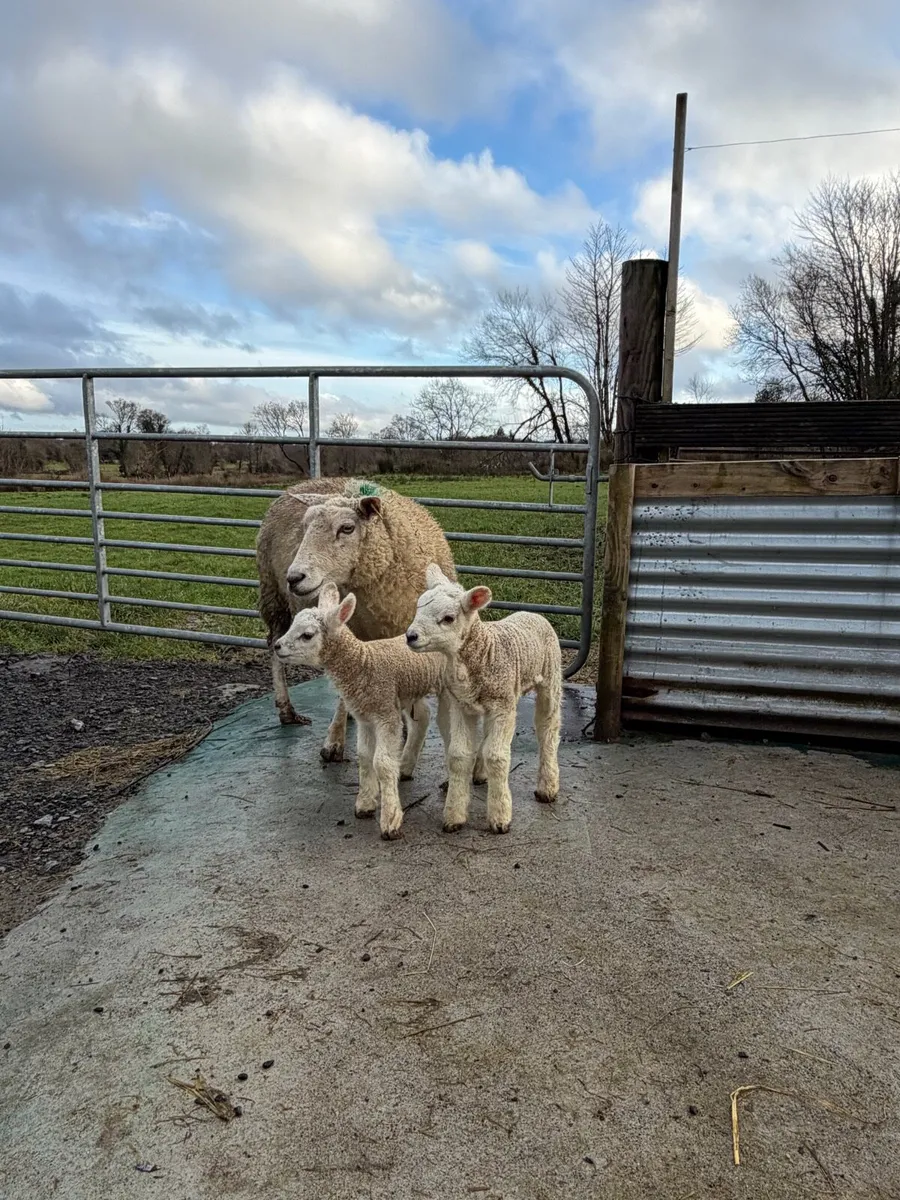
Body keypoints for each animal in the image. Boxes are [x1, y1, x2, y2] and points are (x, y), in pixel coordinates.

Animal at [255, 477, 457, 762]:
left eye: (347, 528)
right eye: (305, 528)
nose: (294, 578)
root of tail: (300, 483)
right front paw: (334, 742)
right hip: (274, 596)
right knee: (274, 646)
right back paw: (287, 711)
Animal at [274, 583, 448, 840]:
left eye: (307, 635)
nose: (277, 646)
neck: (364, 663)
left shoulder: (385, 713)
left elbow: (382, 763)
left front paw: (390, 820)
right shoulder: (365, 716)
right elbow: (365, 758)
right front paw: (365, 804)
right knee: (422, 717)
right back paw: (406, 767)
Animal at [405, 563, 562, 835]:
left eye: (448, 618)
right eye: (418, 608)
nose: (410, 636)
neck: (483, 651)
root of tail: (532, 613)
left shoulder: (503, 705)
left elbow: (497, 756)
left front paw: (500, 818)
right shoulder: (461, 704)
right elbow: (458, 755)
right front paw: (454, 816)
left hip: (550, 677)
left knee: (547, 728)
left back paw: (547, 787)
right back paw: (480, 773)